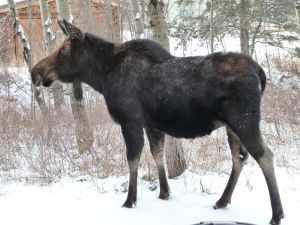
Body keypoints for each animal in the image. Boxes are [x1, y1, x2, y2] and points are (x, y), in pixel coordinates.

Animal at [31, 20, 284, 224]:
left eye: (64, 48)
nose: (35, 71)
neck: (101, 77)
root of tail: (260, 72)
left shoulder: (130, 121)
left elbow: (133, 160)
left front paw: (130, 200)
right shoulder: (151, 125)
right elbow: (157, 154)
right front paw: (164, 193)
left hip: (244, 120)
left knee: (265, 155)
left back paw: (276, 214)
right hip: (231, 125)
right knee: (239, 158)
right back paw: (222, 201)